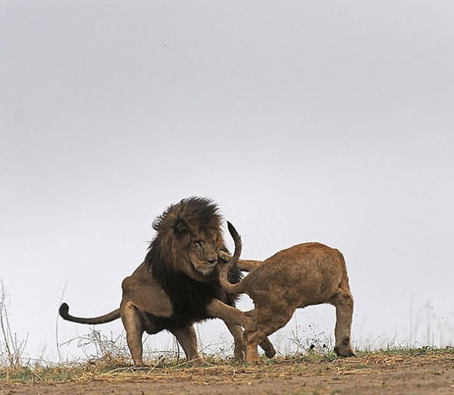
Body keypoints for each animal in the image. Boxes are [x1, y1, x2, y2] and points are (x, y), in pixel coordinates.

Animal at [59, 196, 274, 366]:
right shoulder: (200, 301)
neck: (203, 275)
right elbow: (237, 316)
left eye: (214, 240)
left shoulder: (221, 296)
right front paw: (264, 344)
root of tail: (122, 297)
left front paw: (243, 353)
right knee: (136, 347)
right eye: (197, 242)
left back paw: (204, 365)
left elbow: (235, 325)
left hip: (182, 325)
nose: (213, 260)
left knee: (192, 355)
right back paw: (141, 367)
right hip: (132, 318)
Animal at [218, 221, 356, 364]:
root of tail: (248, 281)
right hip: (280, 313)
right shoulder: (340, 291)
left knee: (246, 323)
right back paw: (254, 360)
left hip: (267, 308)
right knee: (251, 335)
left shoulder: (332, 294)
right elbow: (347, 307)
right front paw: (346, 351)